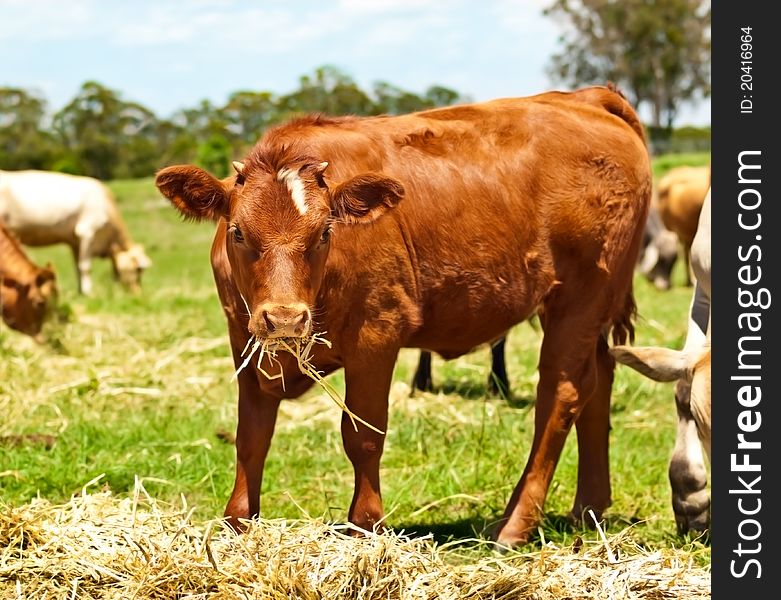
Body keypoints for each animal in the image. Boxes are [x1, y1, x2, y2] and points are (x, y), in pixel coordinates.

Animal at [0, 169, 152, 296]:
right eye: (138, 269)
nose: (138, 293)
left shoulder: (75, 242)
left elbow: (77, 267)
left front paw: (81, 292)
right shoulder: (87, 232)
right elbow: (85, 267)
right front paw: (89, 293)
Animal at [155, 84, 648, 548]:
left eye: (325, 232)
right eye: (238, 232)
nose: (285, 319)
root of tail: (587, 99)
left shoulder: (376, 337)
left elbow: (363, 435)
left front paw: (364, 527)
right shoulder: (245, 341)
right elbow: (252, 437)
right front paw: (237, 524)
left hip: (581, 298)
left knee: (559, 396)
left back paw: (516, 523)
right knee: (597, 381)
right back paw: (588, 508)